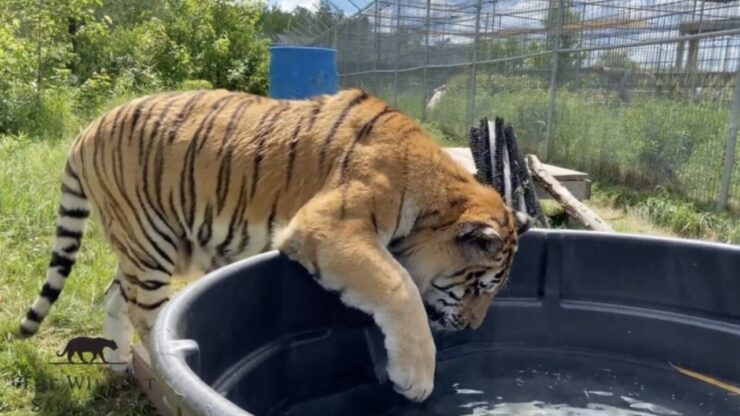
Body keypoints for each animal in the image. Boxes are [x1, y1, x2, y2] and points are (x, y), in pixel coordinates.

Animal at [15, 87, 528, 400]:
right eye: (481, 287)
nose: (474, 327)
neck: (433, 197)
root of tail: (86, 129)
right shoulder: (329, 226)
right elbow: (398, 285)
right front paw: (417, 379)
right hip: (151, 243)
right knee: (151, 318)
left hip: (149, 246)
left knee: (113, 296)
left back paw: (118, 363)